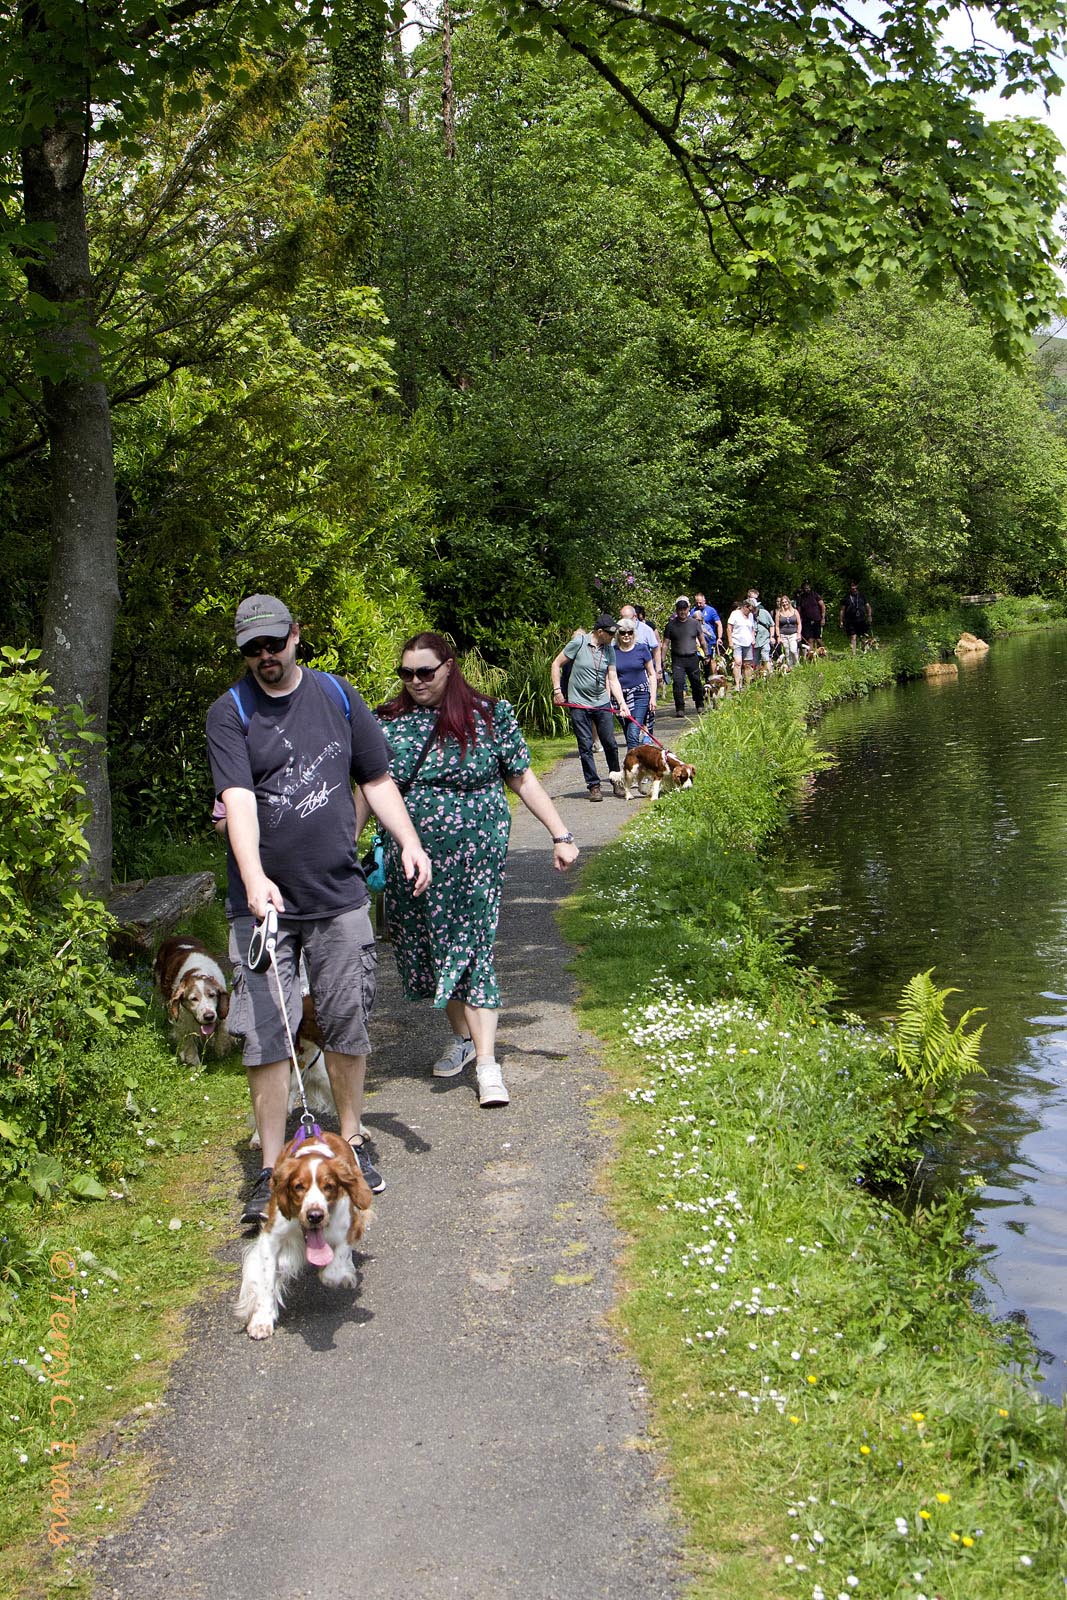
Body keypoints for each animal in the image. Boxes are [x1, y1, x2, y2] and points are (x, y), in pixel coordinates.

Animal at [154, 937, 230, 1066]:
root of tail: (175, 937)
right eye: (193, 998)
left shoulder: (221, 1014)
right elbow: (190, 1048)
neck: (198, 972)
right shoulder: (183, 1022)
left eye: (212, 995)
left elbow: (222, 1034)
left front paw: (219, 1053)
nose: (209, 1016)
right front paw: (195, 1067)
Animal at [235, 1131, 374, 1339]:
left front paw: (337, 1274)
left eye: (329, 1186)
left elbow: (333, 1268)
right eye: (298, 1186)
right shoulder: (271, 1237)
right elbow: (267, 1280)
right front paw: (262, 1320)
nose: (315, 1216)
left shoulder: (349, 1226)